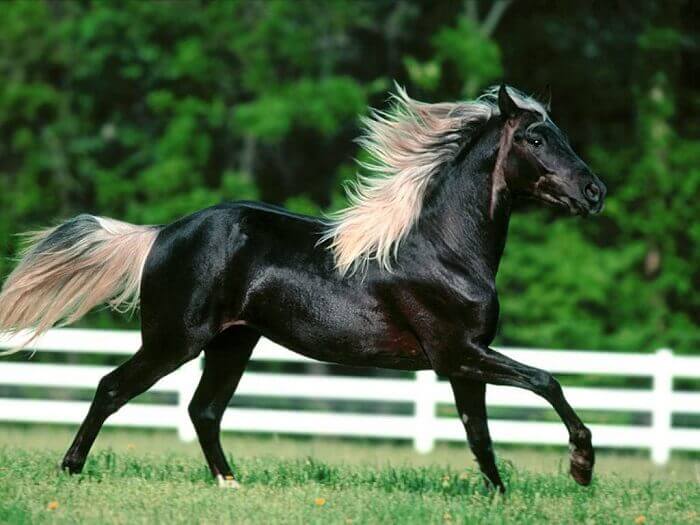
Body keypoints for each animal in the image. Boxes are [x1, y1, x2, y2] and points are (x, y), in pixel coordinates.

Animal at [0, 85, 606, 492]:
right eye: (535, 137)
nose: (595, 192)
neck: (444, 250)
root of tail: (162, 234)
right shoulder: (458, 352)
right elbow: (547, 381)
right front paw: (581, 467)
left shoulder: (463, 360)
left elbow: (479, 434)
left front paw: (500, 496)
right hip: (175, 341)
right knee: (112, 388)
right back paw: (71, 469)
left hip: (232, 342)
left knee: (204, 410)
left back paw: (230, 484)